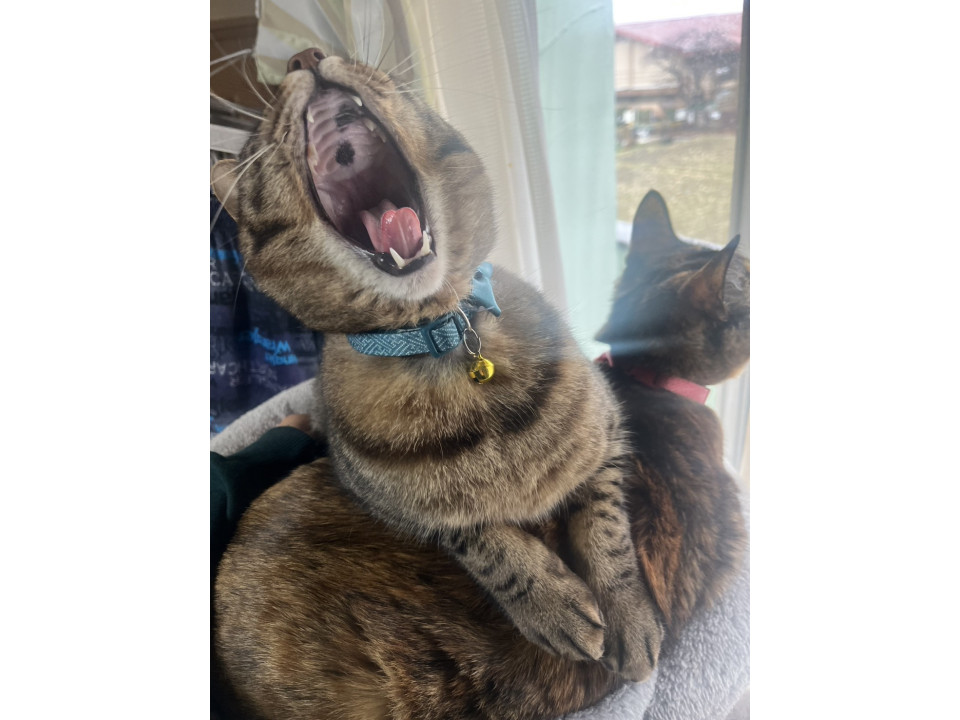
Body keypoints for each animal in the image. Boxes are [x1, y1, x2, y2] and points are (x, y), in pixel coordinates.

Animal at [212, 50, 748, 720]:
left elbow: (609, 533)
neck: (444, 337)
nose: (302, 56)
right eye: (260, 137)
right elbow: (482, 541)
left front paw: (630, 617)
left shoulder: (608, 442)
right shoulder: (391, 503)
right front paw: (552, 604)